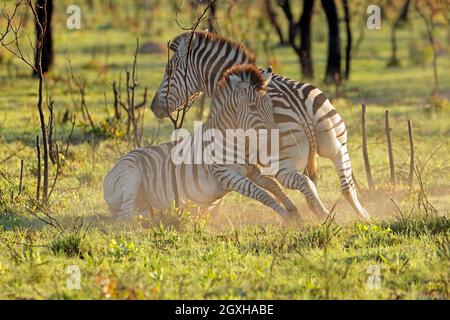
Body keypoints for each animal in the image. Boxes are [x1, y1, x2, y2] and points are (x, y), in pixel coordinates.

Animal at [103, 65, 298, 220]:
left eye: (270, 105)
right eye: (253, 107)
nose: (277, 139)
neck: (238, 140)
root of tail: (112, 168)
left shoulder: (251, 169)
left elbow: (272, 185)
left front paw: (292, 209)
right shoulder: (226, 175)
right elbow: (261, 193)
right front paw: (287, 217)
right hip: (131, 176)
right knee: (125, 217)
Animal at [150, 31, 370, 221]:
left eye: (169, 71)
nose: (153, 108)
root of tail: (297, 104)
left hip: (281, 162)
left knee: (304, 182)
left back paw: (324, 215)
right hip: (337, 144)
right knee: (346, 185)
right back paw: (363, 216)